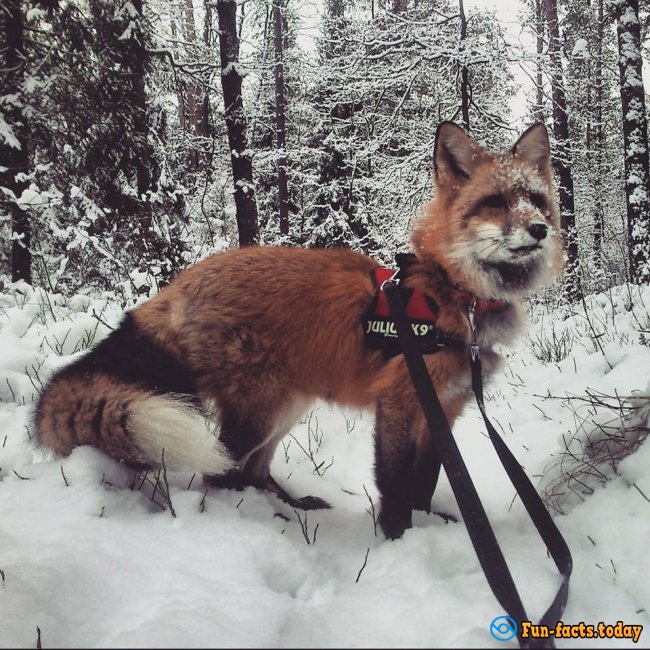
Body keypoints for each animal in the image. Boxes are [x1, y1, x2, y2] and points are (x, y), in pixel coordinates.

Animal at [35, 121, 560, 536]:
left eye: (535, 201)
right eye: (495, 202)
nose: (540, 229)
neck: (451, 296)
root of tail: (180, 284)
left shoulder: (445, 410)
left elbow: (425, 484)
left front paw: (429, 524)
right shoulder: (400, 401)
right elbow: (394, 487)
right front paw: (398, 540)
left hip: (286, 406)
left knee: (254, 472)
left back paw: (288, 508)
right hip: (256, 414)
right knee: (219, 476)